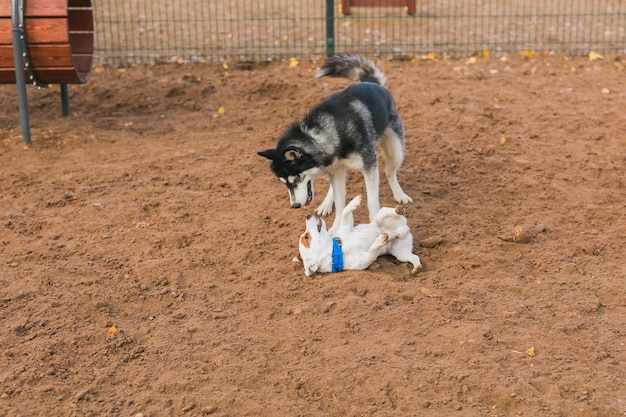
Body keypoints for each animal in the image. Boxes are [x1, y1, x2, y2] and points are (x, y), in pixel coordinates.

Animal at [258, 52, 410, 231]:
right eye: (283, 182)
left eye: (296, 178)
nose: (295, 205)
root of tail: (371, 82)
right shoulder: (335, 170)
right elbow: (340, 203)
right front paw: (337, 227)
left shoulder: (370, 166)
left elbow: (372, 202)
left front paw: (374, 224)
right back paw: (326, 204)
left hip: (396, 152)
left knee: (389, 172)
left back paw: (399, 194)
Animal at [292, 195, 420, 276]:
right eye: (306, 237)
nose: (308, 216)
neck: (338, 247)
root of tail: (403, 229)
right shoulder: (364, 260)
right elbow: (372, 250)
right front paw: (380, 240)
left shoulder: (346, 226)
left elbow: (345, 212)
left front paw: (355, 200)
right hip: (401, 254)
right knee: (415, 258)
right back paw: (416, 268)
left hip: (381, 217)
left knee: (387, 211)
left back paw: (399, 210)